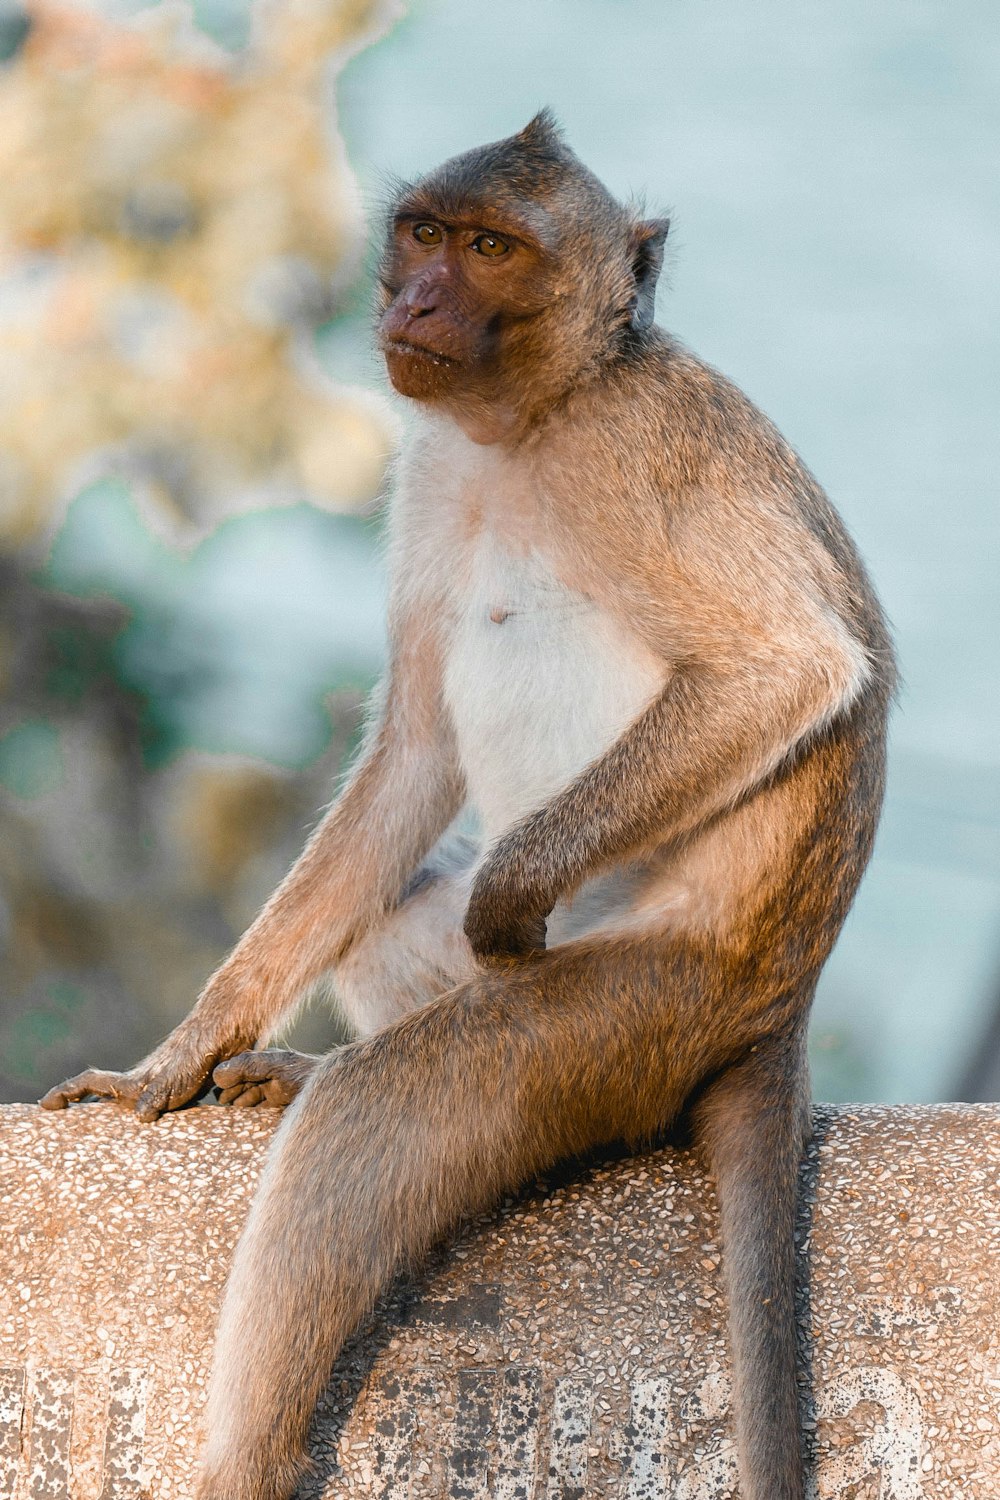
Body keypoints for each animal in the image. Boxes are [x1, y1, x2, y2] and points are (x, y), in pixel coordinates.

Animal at [43, 114, 893, 1500]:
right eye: (427, 234)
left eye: (492, 250)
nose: (420, 301)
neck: (532, 422)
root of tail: (779, 1002)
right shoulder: (434, 462)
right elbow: (415, 752)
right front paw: (180, 1055)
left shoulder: (639, 447)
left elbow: (789, 669)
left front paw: (507, 892)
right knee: (384, 942)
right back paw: (294, 1065)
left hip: (638, 1006)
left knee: (377, 1120)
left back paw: (244, 1450)